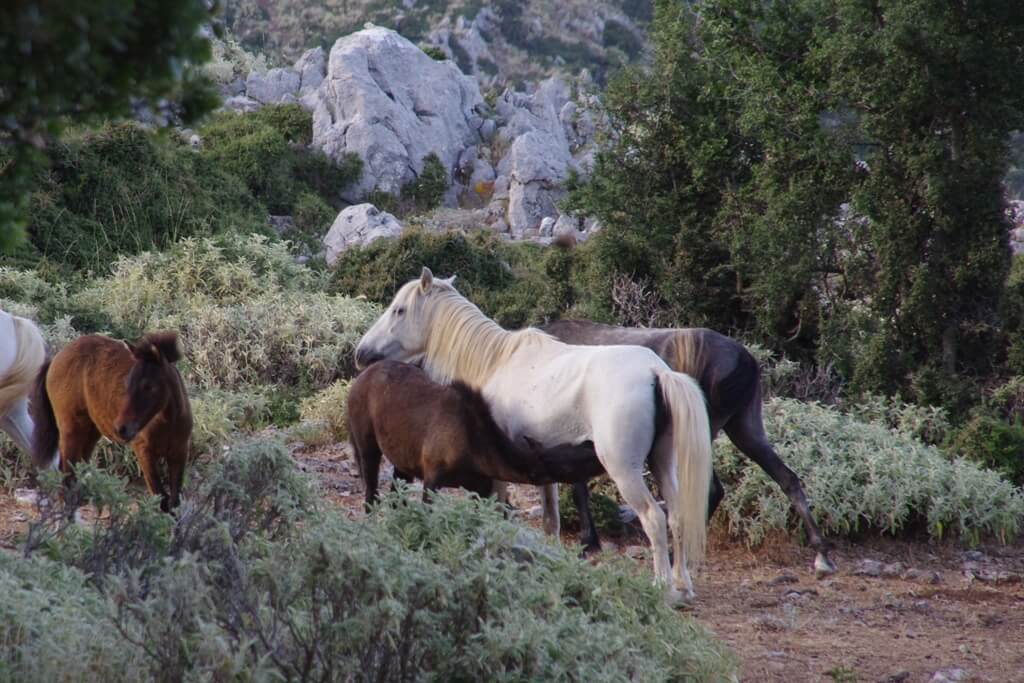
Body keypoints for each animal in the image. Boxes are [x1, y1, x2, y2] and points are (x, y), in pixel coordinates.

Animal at [30, 332, 193, 512]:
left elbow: (174, 502)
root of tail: (56, 358)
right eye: (128, 382)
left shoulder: (179, 453)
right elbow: (162, 499)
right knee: (67, 476)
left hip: (90, 432)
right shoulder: (144, 452)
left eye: (148, 386)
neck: (168, 423)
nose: (121, 428)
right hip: (70, 430)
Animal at [347, 359, 605, 508]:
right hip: (367, 446)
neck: (475, 449)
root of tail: (358, 379)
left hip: (403, 463)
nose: (593, 446)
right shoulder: (432, 478)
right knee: (370, 494)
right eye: (569, 464)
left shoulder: (480, 488)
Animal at [541, 319, 836, 576]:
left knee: (713, 489)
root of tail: (748, 363)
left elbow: (577, 489)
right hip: (745, 426)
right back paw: (821, 554)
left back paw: (677, 555)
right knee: (788, 478)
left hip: (702, 431)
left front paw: (588, 543)